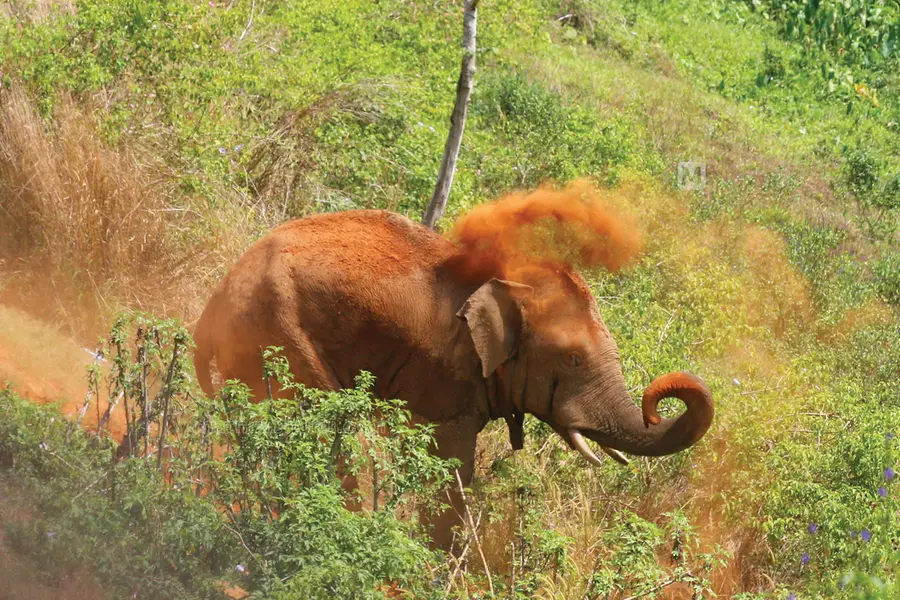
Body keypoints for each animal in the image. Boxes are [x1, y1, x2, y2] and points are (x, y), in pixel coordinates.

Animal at [193, 209, 714, 548]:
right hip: (278, 334)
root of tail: (216, 298)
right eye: (571, 360)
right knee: (330, 434)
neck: (510, 282)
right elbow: (450, 460)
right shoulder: (444, 371)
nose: (656, 405)